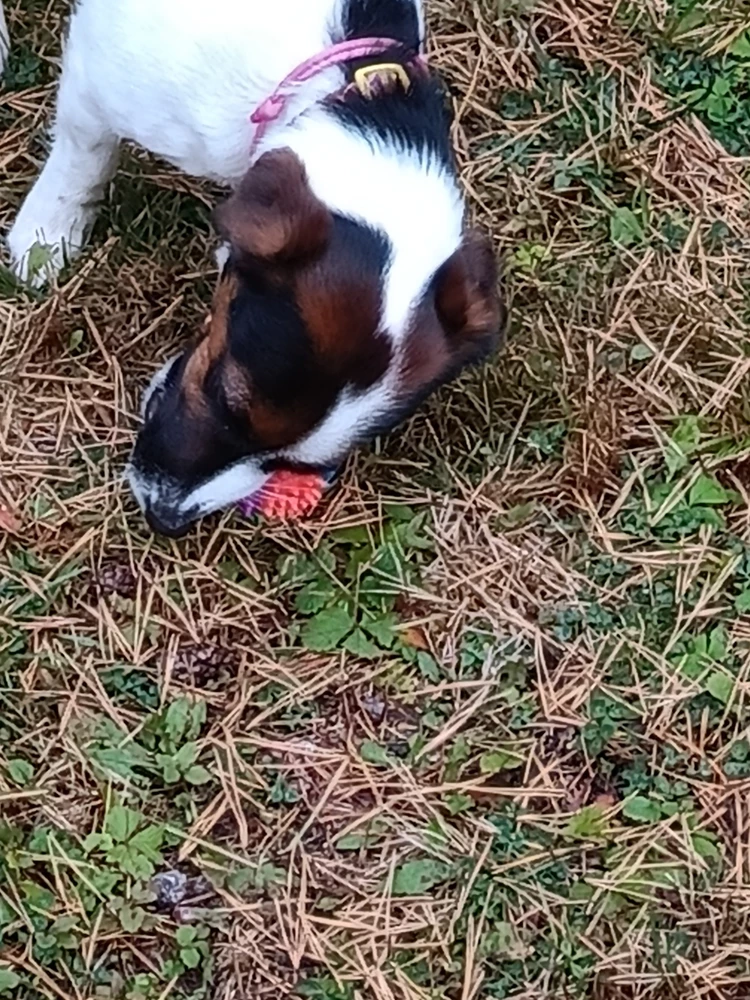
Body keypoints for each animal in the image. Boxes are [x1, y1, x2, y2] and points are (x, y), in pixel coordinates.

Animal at [4, 0, 506, 540]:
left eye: (297, 464)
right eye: (227, 402)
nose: (164, 520)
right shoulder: (98, 75)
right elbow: (85, 154)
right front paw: (46, 234)